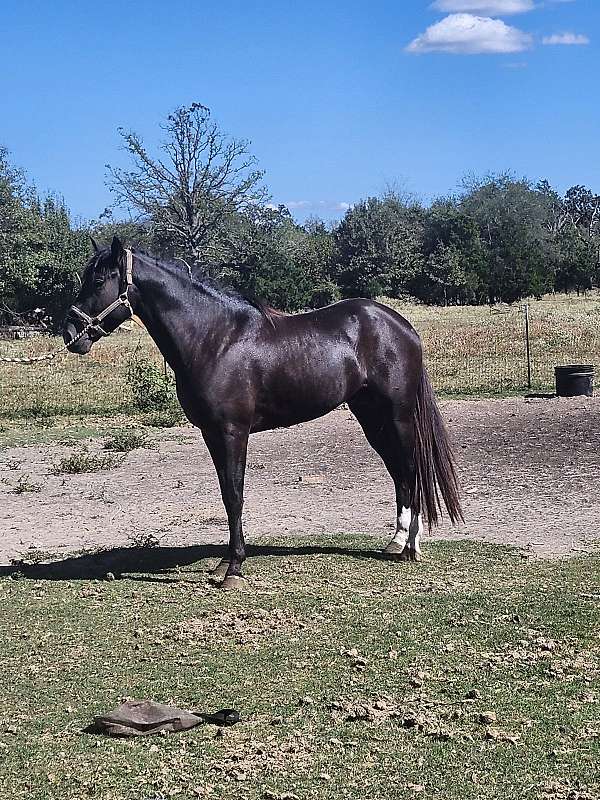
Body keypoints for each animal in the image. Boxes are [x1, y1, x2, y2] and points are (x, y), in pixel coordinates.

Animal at [63, 236, 463, 588]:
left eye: (98, 280)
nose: (69, 333)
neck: (214, 339)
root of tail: (402, 326)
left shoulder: (233, 431)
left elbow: (235, 494)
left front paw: (235, 569)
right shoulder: (212, 434)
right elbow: (226, 493)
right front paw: (225, 561)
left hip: (398, 416)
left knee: (411, 467)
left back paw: (411, 546)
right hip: (371, 418)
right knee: (398, 472)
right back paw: (396, 541)